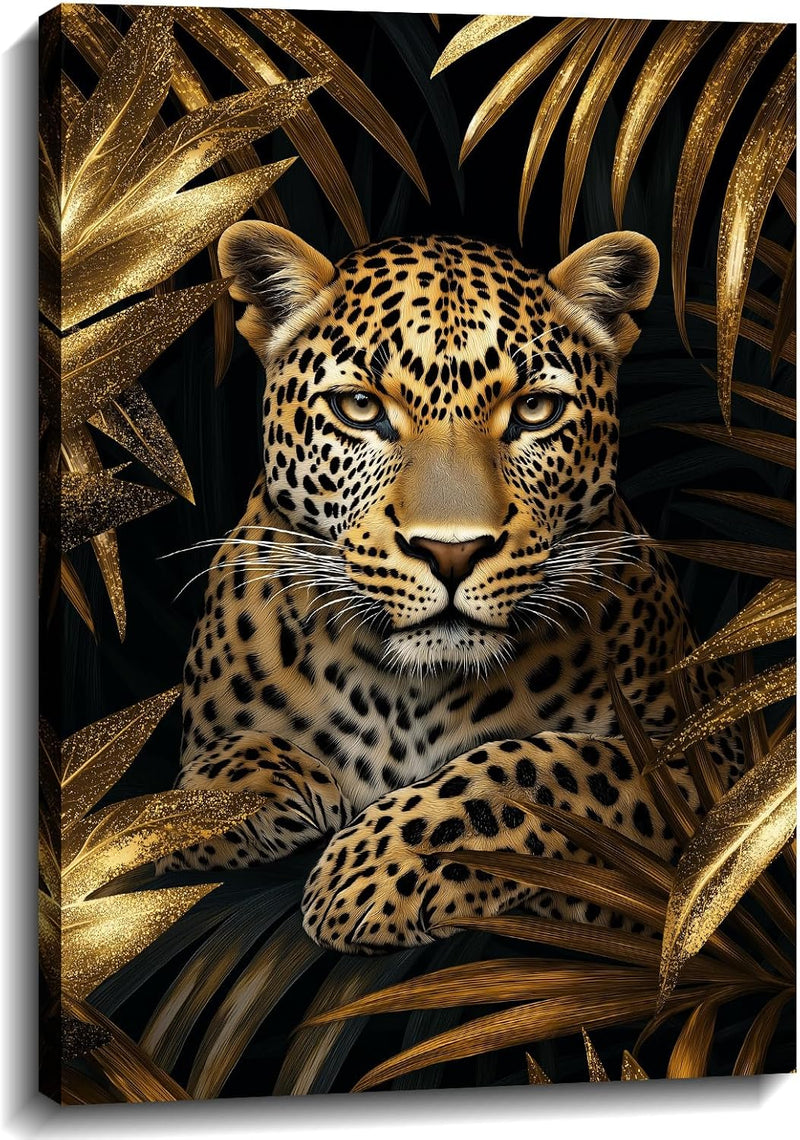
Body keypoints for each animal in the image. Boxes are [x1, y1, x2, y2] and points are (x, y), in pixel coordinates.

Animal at [160, 222, 742, 954]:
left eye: (534, 409)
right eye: (359, 407)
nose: (451, 551)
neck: (406, 694)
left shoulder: (711, 755)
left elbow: (543, 765)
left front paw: (374, 868)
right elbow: (213, 771)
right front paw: (211, 808)